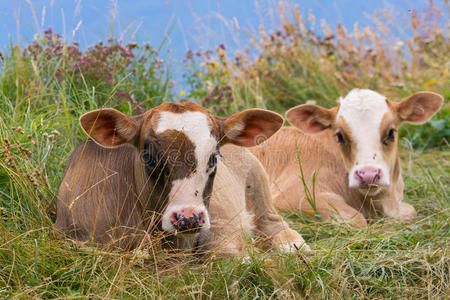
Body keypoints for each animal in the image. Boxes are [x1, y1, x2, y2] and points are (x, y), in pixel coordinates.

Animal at [251, 90, 444, 226]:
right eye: (340, 136)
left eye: (391, 132)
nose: (368, 175)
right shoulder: (293, 194)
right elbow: (356, 220)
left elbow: (410, 211)